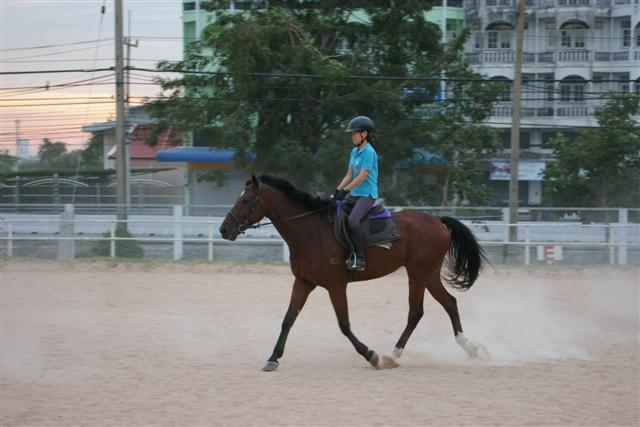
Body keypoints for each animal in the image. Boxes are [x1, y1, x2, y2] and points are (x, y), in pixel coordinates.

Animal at [221, 174, 490, 372]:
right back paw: (471, 348)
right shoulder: (304, 282)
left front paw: (370, 355)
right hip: (429, 275)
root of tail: (437, 220)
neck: (310, 232)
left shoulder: (336, 285)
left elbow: (343, 324)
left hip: (417, 275)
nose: (224, 229)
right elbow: (288, 319)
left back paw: (393, 355)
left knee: (416, 313)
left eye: (246, 201)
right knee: (450, 303)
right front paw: (273, 358)